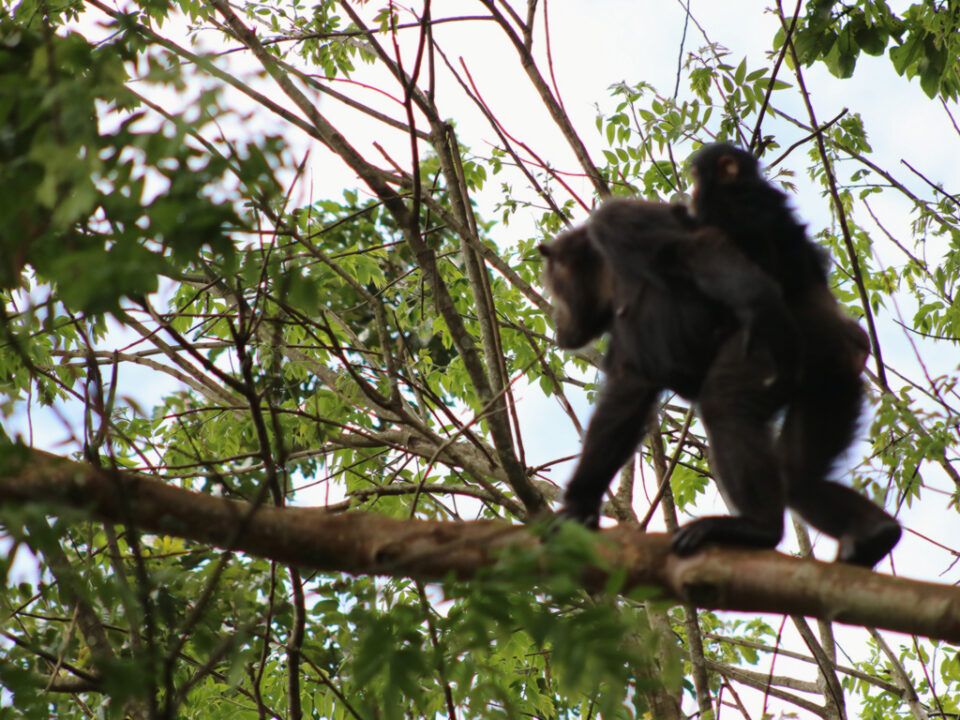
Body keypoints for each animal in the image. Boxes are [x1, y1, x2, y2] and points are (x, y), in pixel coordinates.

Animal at [540, 200, 804, 560]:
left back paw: (759, 527)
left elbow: (696, 247)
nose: (556, 319)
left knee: (725, 405)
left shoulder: (618, 219)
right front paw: (581, 506)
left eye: (554, 289)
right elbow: (629, 394)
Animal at [684, 142, 900, 568]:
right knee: (797, 477)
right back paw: (876, 534)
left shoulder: (729, 212)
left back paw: (758, 528)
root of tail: (854, 348)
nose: (691, 189)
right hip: (835, 390)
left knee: (727, 406)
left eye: (698, 176)